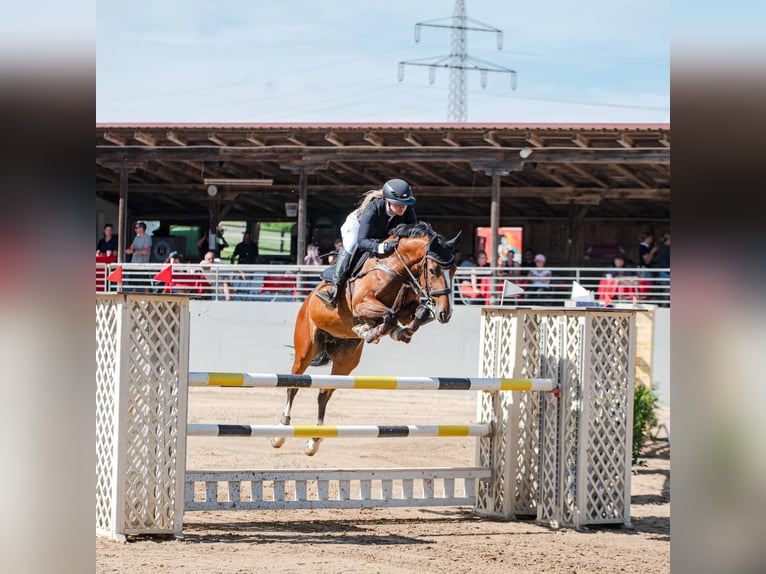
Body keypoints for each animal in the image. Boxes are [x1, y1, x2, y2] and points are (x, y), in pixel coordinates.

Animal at [272, 223, 462, 456]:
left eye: (454, 270)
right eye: (434, 270)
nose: (445, 313)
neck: (395, 267)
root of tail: (306, 302)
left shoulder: (407, 307)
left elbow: (415, 314)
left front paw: (394, 331)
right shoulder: (361, 303)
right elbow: (389, 314)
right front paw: (371, 330)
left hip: (345, 362)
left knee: (324, 393)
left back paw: (314, 441)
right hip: (305, 350)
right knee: (293, 386)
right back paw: (280, 432)